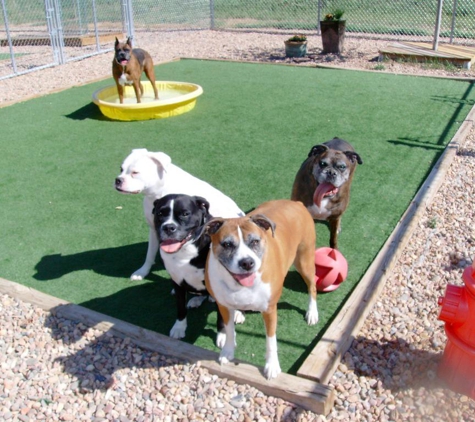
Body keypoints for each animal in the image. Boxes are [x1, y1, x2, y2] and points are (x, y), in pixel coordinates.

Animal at [114, 148, 244, 280]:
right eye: (121, 169)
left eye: (135, 172)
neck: (159, 191)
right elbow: (149, 253)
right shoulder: (154, 229)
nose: (118, 180)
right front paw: (142, 271)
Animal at [154, 193, 245, 344]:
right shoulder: (178, 282)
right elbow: (181, 308)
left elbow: (222, 317)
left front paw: (223, 335)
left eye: (185, 214)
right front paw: (179, 328)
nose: (168, 227)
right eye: (160, 213)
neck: (186, 252)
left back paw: (238, 313)